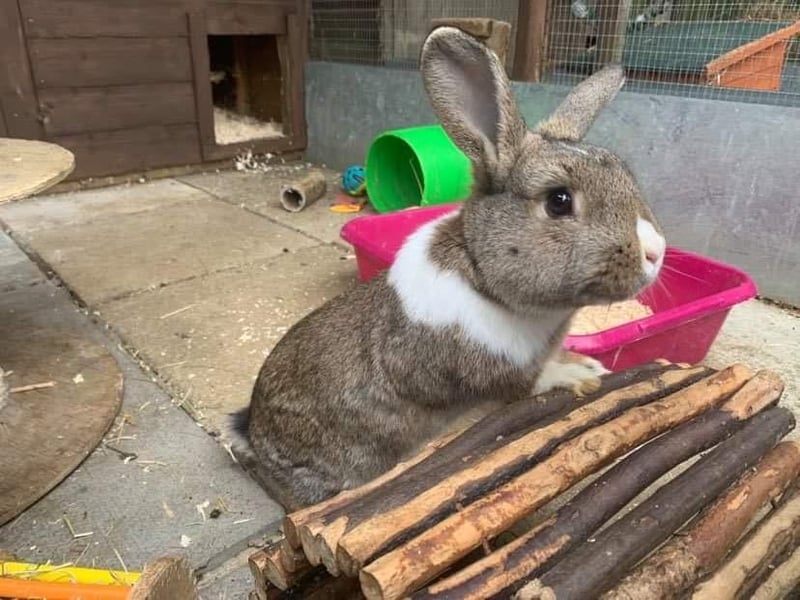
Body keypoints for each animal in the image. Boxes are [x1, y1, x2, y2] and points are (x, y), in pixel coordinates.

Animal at [233, 26, 666, 510]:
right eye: (559, 201)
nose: (656, 251)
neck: (484, 278)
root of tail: (254, 433)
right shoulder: (485, 374)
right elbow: (525, 385)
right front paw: (579, 374)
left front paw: (585, 363)